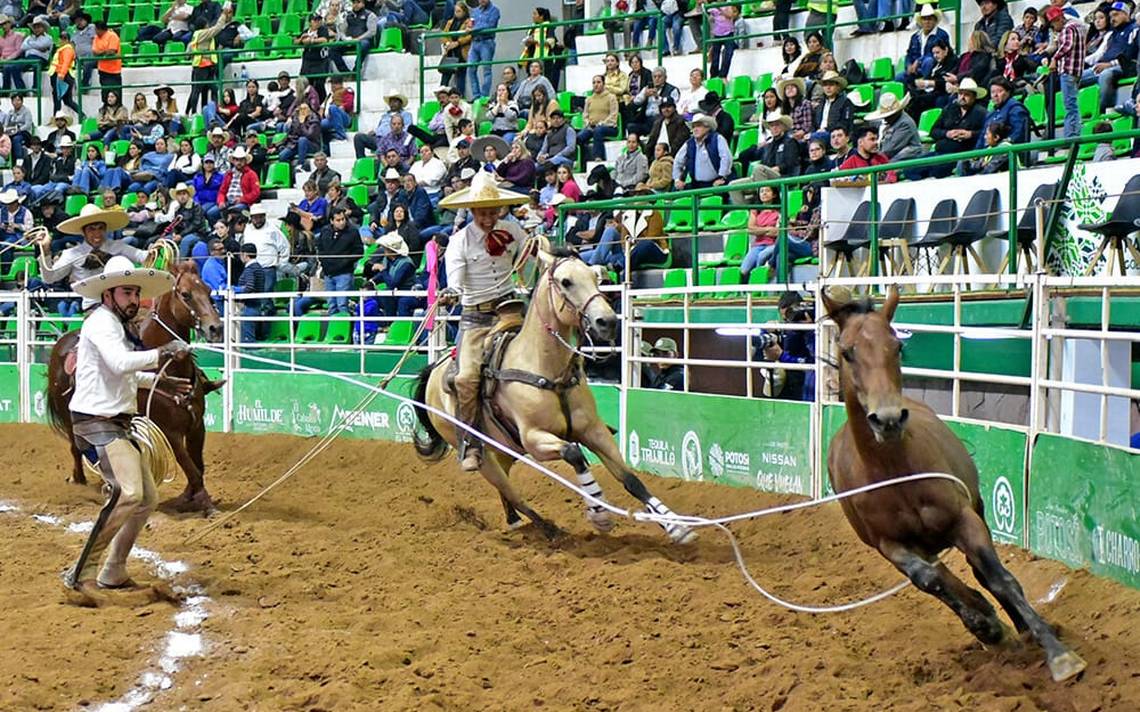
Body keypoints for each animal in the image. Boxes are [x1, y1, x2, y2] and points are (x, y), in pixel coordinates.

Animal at [46, 260, 224, 510]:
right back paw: (79, 481)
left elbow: (198, 466)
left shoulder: (197, 427)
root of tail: (61, 342)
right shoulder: (171, 432)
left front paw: (188, 496)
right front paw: (206, 504)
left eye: (208, 291)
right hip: (70, 416)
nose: (215, 328)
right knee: (76, 447)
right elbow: (191, 468)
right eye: (186, 294)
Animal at [410, 247, 693, 542]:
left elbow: (631, 480)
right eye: (566, 282)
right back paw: (547, 528)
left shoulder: (594, 431)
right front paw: (599, 514)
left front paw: (676, 526)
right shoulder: (535, 439)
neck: (547, 370)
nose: (607, 322)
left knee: (507, 484)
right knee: (511, 490)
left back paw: (514, 519)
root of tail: (434, 371)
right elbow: (573, 453)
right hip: (483, 454)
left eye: (596, 277)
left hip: (506, 448)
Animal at [825, 285, 1080, 678]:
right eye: (848, 351)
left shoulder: (965, 519)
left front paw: (1057, 652)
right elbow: (930, 580)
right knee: (944, 577)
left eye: (896, 347)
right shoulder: (889, 545)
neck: (894, 472)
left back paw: (1018, 625)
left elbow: (998, 577)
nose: (888, 419)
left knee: (982, 574)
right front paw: (987, 628)